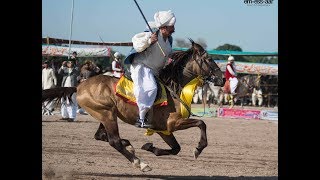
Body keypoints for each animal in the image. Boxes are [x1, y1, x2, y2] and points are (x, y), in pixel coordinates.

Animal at [42, 39, 225, 172]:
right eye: (209, 59)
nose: (222, 79)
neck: (170, 86)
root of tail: (79, 86)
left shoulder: (163, 129)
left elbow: (176, 148)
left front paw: (150, 147)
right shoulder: (172, 123)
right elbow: (201, 123)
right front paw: (198, 148)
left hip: (105, 115)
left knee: (101, 136)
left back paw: (129, 146)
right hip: (107, 115)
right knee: (113, 141)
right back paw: (139, 162)